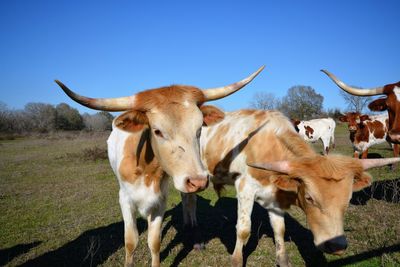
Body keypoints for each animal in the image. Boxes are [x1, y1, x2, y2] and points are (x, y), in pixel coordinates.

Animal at [54, 65, 264, 267]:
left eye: (199, 130)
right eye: (157, 131)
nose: (198, 181)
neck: (145, 169)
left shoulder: (160, 201)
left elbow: (154, 242)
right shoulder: (125, 200)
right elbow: (130, 241)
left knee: (189, 200)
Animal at [181, 108, 400, 267]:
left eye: (347, 200)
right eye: (310, 198)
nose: (337, 245)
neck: (267, 145)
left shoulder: (274, 196)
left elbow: (279, 228)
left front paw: (282, 260)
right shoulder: (245, 189)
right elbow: (243, 229)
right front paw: (236, 260)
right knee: (188, 199)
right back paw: (192, 230)